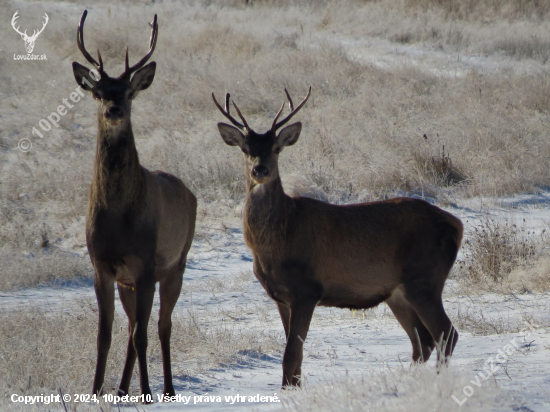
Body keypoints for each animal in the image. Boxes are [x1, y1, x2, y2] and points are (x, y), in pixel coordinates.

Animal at [71, 11, 196, 400]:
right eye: (98, 92)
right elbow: (105, 334)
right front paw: (96, 390)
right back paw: (123, 389)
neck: (118, 217)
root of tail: (188, 191)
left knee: (162, 325)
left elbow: (144, 334)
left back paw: (166, 388)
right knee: (131, 330)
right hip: (130, 281)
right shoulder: (102, 265)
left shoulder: (145, 264)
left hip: (175, 265)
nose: (113, 110)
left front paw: (148, 392)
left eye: (128, 92)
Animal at [213, 88, 464, 388]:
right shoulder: (280, 297)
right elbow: (294, 356)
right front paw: (292, 388)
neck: (278, 239)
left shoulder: (308, 289)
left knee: (446, 334)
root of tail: (457, 224)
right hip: (398, 292)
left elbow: (291, 353)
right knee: (423, 341)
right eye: (246, 150)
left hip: (424, 279)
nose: (259, 170)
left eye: (276, 148)